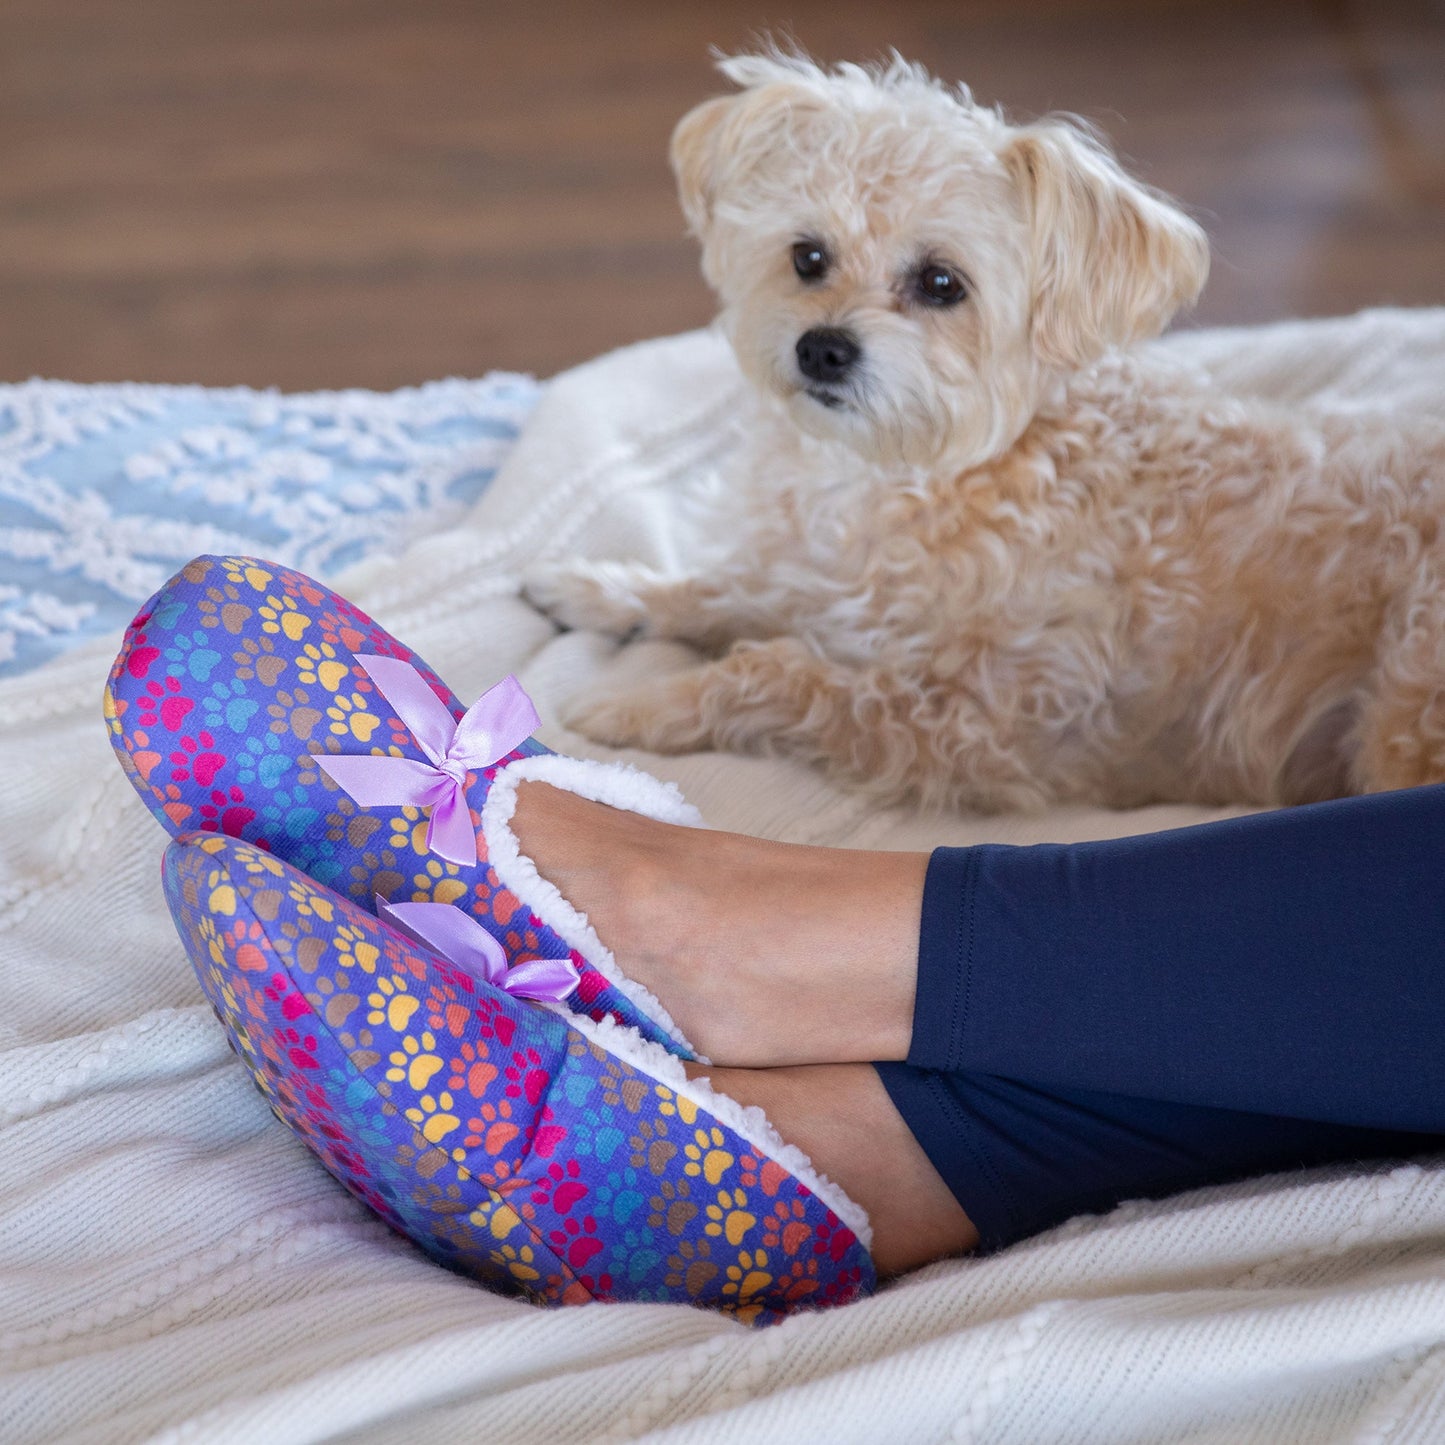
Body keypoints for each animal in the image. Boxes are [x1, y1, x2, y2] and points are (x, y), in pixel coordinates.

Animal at [525, 48, 1445, 814]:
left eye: (941, 283)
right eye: (807, 257)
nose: (821, 348)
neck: (914, 474)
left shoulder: (979, 728)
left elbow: (784, 672)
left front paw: (636, 704)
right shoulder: (820, 583)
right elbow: (726, 587)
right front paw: (604, 591)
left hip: (1401, 710)